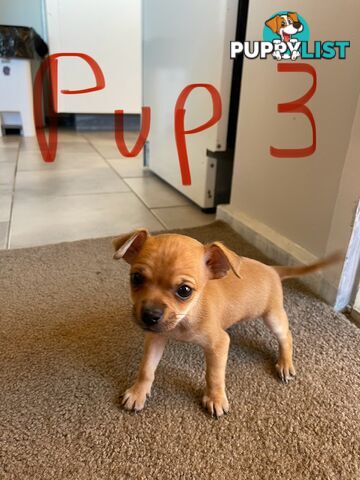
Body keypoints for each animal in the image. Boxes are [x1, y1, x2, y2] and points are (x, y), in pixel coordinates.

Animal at [112, 229, 340, 416]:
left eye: (184, 291)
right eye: (136, 278)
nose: (150, 315)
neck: (185, 318)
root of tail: (272, 269)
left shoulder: (219, 344)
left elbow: (214, 375)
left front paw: (215, 399)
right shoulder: (156, 338)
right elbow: (146, 369)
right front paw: (138, 392)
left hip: (273, 316)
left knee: (286, 337)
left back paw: (285, 363)